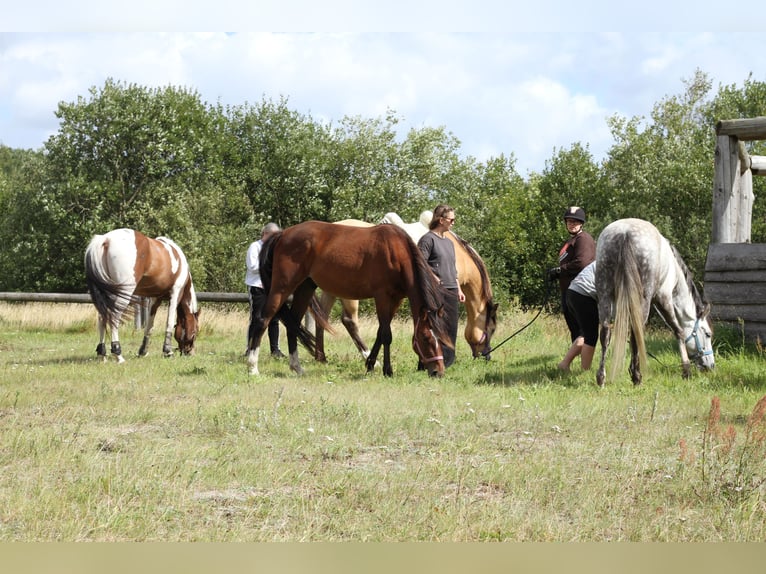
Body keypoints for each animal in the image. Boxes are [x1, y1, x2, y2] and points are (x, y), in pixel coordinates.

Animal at [83, 230, 201, 364]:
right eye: (195, 331)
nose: (190, 352)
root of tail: (106, 239)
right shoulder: (176, 293)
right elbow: (169, 322)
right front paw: (168, 351)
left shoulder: (155, 299)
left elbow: (149, 325)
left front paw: (143, 351)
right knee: (114, 317)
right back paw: (118, 355)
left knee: (102, 317)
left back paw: (102, 355)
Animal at [250, 223, 450, 380]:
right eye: (425, 338)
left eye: (441, 339)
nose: (438, 372)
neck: (396, 253)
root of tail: (283, 234)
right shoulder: (382, 297)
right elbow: (386, 335)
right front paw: (387, 370)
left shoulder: (396, 299)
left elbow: (380, 332)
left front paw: (370, 364)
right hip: (282, 287)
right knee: (262, 320)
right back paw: (252, 367)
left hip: (305, 287)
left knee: (293, 325)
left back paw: (297, 368)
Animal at [314, 216, 498, 364]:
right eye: (492, 329)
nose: (487, 355)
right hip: (349, 293)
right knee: (349, 321)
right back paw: (366, 355)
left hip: (331, 289)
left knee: (321, 317)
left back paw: (321, 357)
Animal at [596, 218, 716, 390]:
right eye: (708, 334)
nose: (710, 365)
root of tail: (624, 233)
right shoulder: (663, 299)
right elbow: (678, 331)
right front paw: (686, 370)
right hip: (643, 300)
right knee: (636, 332)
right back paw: (637, 377)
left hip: (604, 294)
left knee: (606, 333)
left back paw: (601, 378)